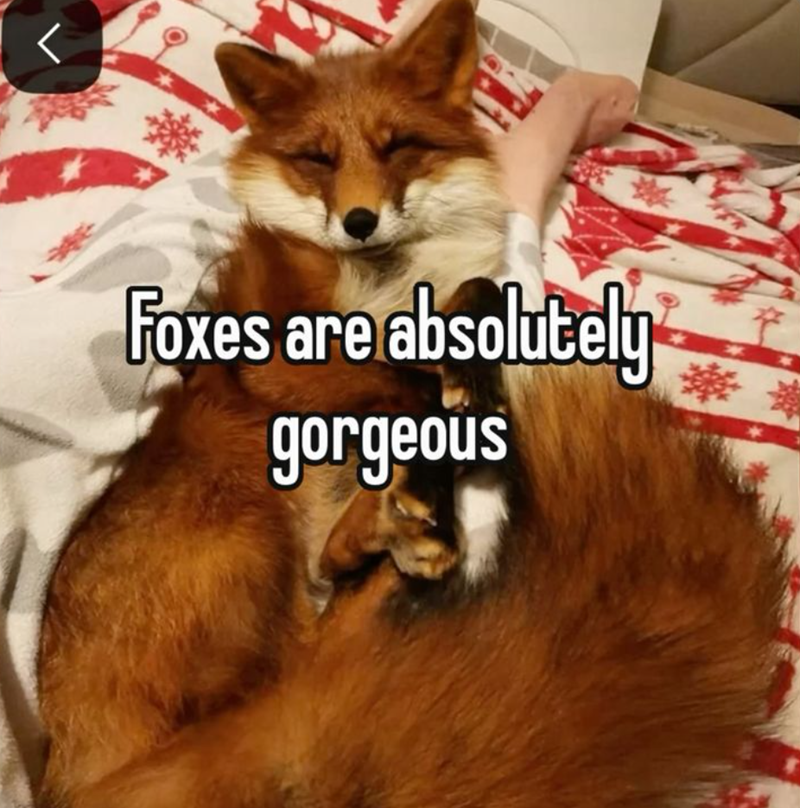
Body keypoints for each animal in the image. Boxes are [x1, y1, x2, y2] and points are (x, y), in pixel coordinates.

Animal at [37, 1, 787, 807]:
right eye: (319, 159)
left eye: (397, 146)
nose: (360, 221)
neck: (394, 282)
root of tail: (80, 768)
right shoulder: (282, 357)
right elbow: (411, 377)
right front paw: (459, 405)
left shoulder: (456, 294)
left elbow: (475, 301)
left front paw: (464, 394)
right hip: (245, 526)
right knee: (306, 651)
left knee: (329, 606)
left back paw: (400, 527)